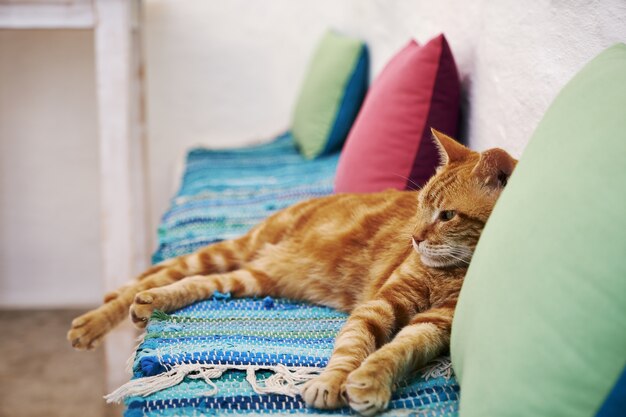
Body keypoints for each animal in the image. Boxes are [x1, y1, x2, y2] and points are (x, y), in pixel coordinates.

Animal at [68, 129, 516, 412]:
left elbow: (396, 350)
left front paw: (370, 380)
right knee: (151, 279)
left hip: (249, 278)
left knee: (193, 283)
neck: (449, 272)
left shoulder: (435, 325)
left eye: (447, 215)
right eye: (422, 205)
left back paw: (151, 303)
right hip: (232, 251)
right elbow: (352, 346)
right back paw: (95, 321)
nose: (414, 238)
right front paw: (331, 382)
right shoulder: (380, 305)